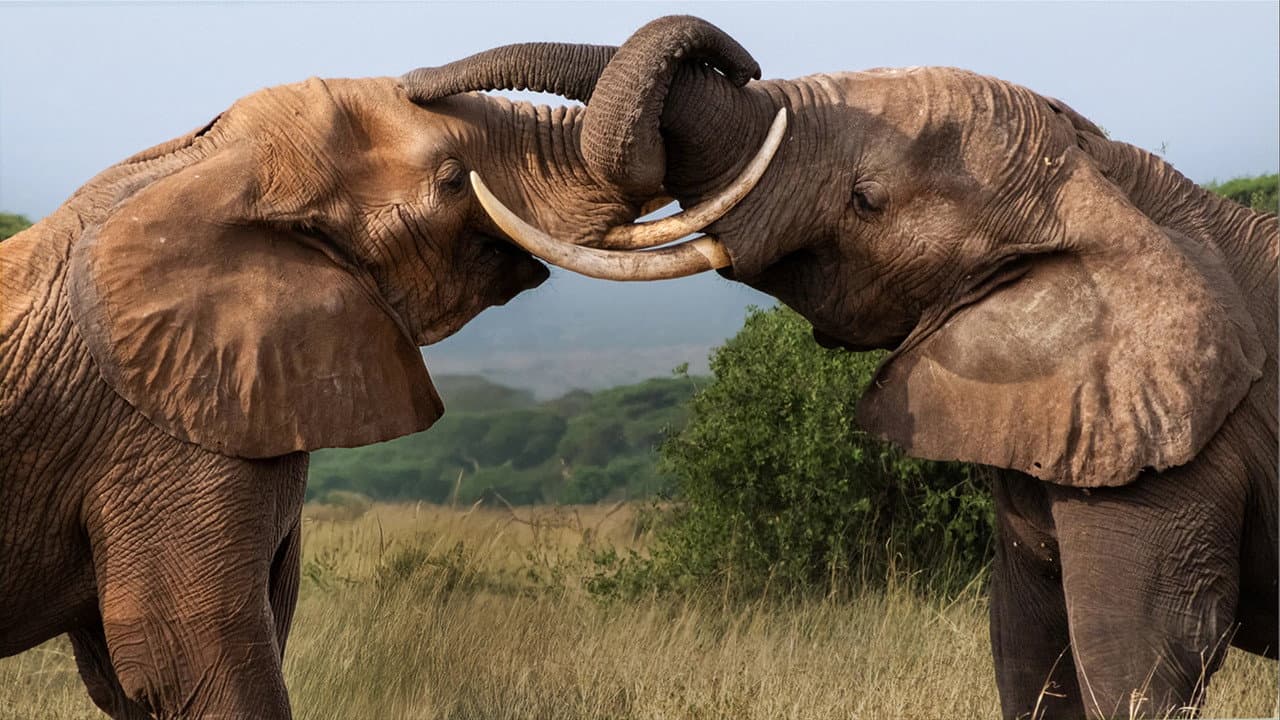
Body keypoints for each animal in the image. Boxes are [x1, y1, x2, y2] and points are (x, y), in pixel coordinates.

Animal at [412, 15, 1280, 719]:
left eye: (867, 199)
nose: (412, 84)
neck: (1110, 180)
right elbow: (1028, 642)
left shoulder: (1185, 457)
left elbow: (1140, 656)